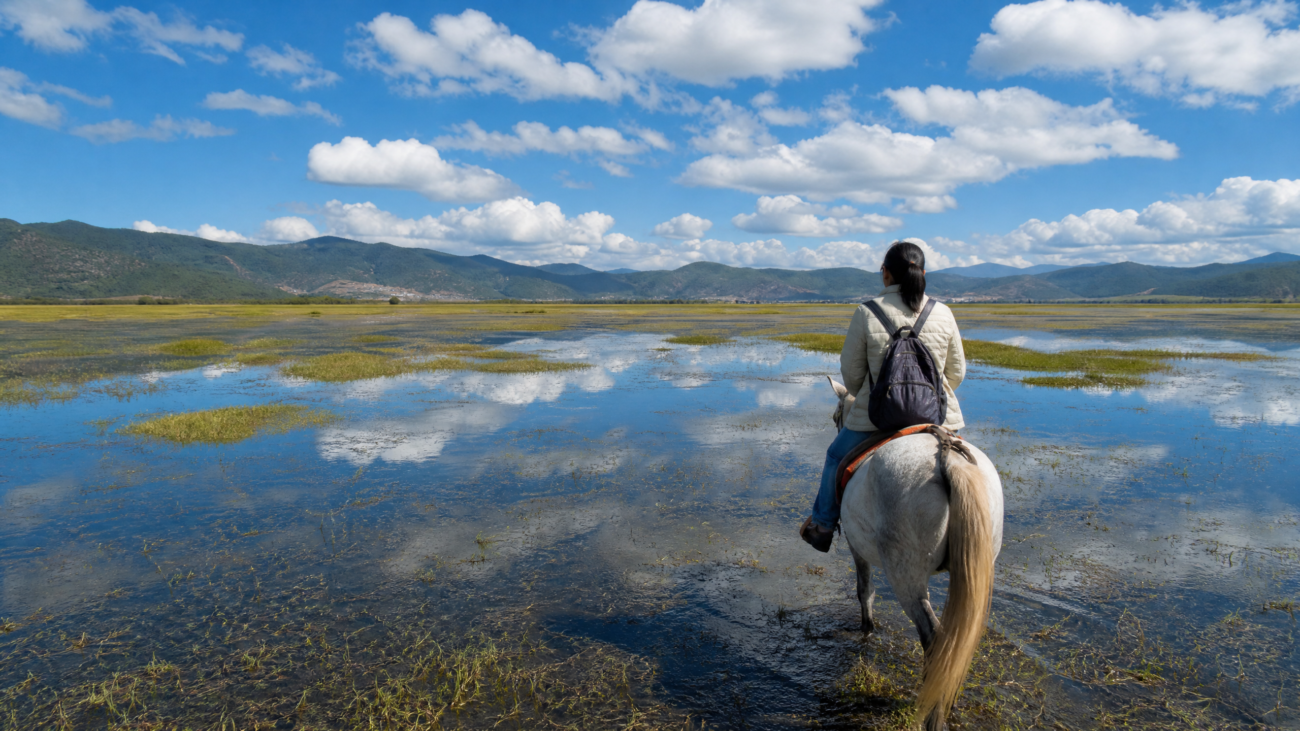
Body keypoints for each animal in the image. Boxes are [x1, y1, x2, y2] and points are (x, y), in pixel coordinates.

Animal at [827, 377, 1004, 731]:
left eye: (836, 416)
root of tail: (949, 461)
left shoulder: (857, 547)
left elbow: (865, 591)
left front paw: (867, 629)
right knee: (956, 642)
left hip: (906, 577)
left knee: (934, 640)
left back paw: (932, 712)